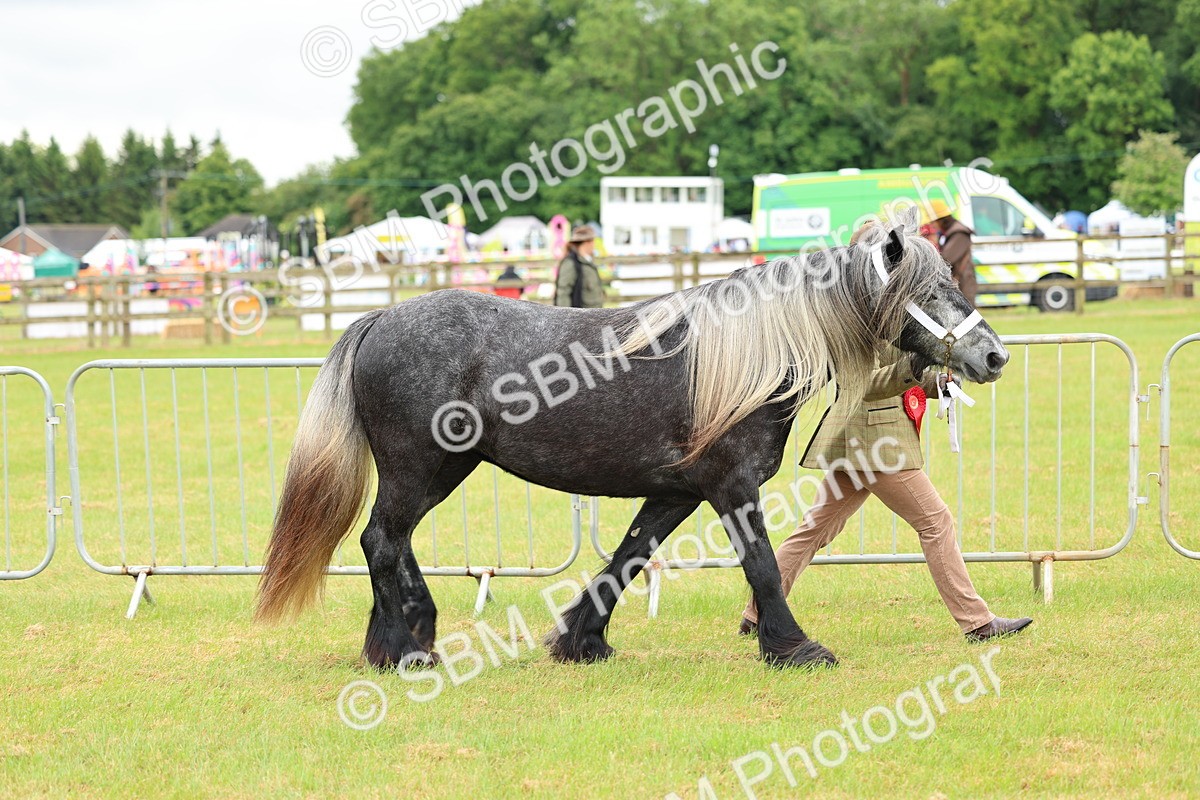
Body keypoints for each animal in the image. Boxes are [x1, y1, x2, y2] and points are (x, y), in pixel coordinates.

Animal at [254, 216, 1009, 670]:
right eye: (930, 292)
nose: (994, 355)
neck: (746, 355)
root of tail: (380, 318)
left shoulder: (676, 492)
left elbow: (626, 559)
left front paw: (581, 640)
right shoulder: (730, 487)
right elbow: (763, 565)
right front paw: (794, 647)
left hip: (440, 471)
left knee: (395, 542)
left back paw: (410, 636)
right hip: (423, 470)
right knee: (382, 540)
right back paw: (403, 650)